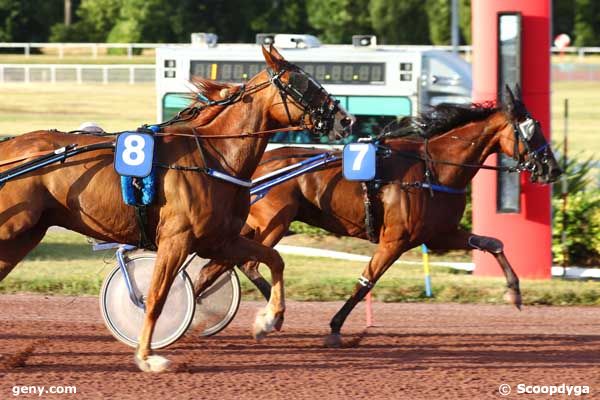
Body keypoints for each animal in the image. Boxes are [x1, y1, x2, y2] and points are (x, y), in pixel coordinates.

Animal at [0, 45, 354, 370]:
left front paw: (268, 320)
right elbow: (156, 297)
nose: (345, 119)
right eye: (301, 83)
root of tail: (9, 146)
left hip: (24, 236)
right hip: (13, 228)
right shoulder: (176, 239)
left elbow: (273, 259)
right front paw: (147, 355)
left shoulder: (219, 240)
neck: (214, 157)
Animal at [193, 87, 564, 346]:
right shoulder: (395, 239)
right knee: (243, 263)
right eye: (530, 131)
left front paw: (514, 292)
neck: (433, 168)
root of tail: (259, 167)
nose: (554, 169)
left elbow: (493, 242)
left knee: (224, 265)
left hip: (258, 225)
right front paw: (335, 329)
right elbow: (365, 281)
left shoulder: (439, 234)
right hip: (273, 223)